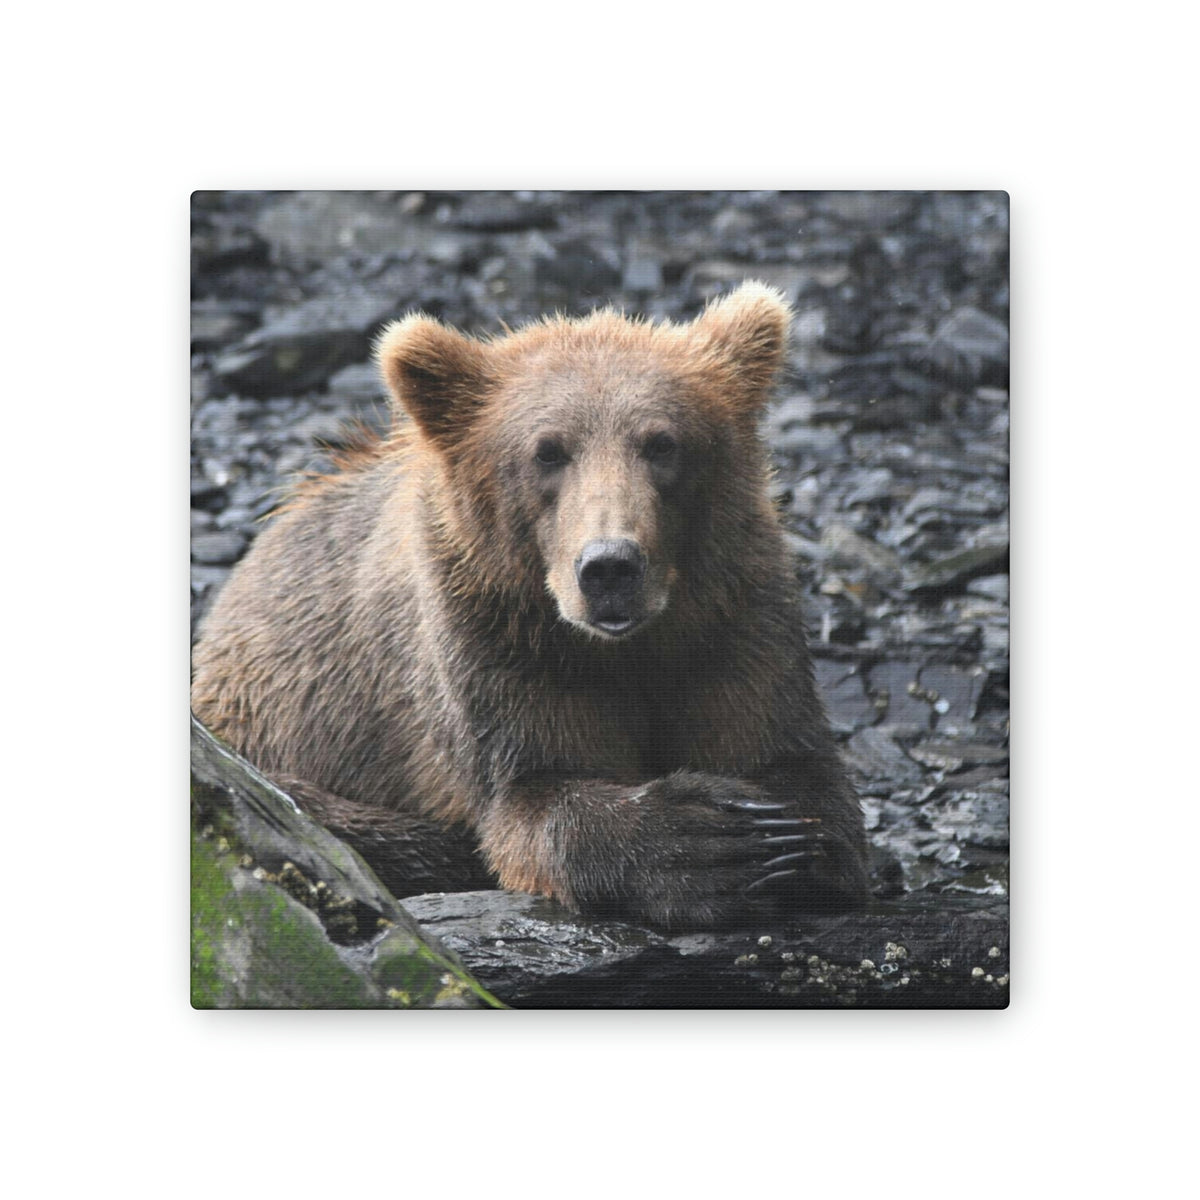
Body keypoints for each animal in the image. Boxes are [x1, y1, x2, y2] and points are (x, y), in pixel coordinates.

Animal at [191, 282, 868, 931]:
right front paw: (708, 843)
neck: (625, 647)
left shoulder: (733, 618)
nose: (610, 567)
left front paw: (781, 840)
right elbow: (533, 793)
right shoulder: (496, 642)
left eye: (662, 443)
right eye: (548, 451)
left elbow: (789, 760)